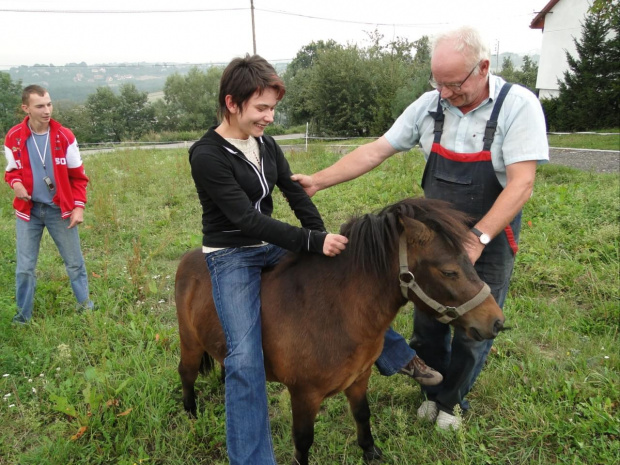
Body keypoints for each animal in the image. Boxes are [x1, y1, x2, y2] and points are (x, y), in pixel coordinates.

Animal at [174, 197, 504, 464]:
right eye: (449, 271)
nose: (496, 322)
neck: (333, 312)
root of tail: (190, 257)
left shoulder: (359, 379)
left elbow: (362, 415)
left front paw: (371, 453)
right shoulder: (304, 394)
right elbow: (303, 441)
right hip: (190, 344)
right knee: (186, 373)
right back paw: (190, 415)